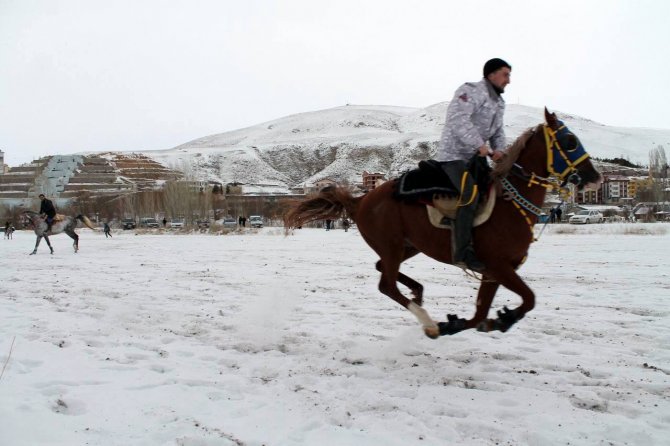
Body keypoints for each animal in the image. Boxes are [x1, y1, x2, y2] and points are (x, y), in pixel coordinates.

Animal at [284, 109, 604, 338]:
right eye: (570, 142)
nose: (595, 177)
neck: (508, 204)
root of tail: (360, 200)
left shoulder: (493, 272)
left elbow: (480, 315)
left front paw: (471, 322)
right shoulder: (499, 267)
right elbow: (529, 298)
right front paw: (503, 319)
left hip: (407, 246)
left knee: (382, 270)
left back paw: (419, 293)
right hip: (391, 245)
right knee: (386, 284)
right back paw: (427, 320)